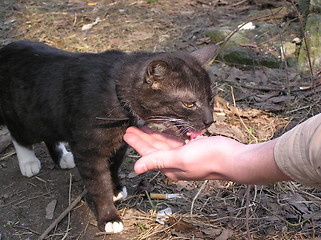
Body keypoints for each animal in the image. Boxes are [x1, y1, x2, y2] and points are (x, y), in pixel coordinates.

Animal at [0, 40, 218, 232]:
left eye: (210, 100)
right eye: (189, 104)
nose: (209, 121)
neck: (116, 93)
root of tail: (6, 50)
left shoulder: (120, 143)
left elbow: (113, 166)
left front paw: (115, 190)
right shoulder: (88, 151)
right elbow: (98, 183)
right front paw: (109, 218)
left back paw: (62, 158)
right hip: (24, 114)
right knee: (18, 134)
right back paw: (28, 162)